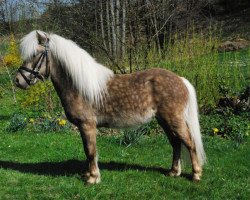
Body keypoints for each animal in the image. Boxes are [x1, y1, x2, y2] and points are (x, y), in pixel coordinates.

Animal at [16, 30, 207, 184]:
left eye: (35, 54)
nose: (18, 81)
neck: (80, 86)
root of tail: (180, 79)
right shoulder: (83, 127)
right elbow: (87, 151)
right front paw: (89, 175)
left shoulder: (87, 125)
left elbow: (91, 151)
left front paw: (93, 178)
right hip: (163, 120)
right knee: (175, 143)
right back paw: (173, 172)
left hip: (174, 120)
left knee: (189, 143)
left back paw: (196, 175)